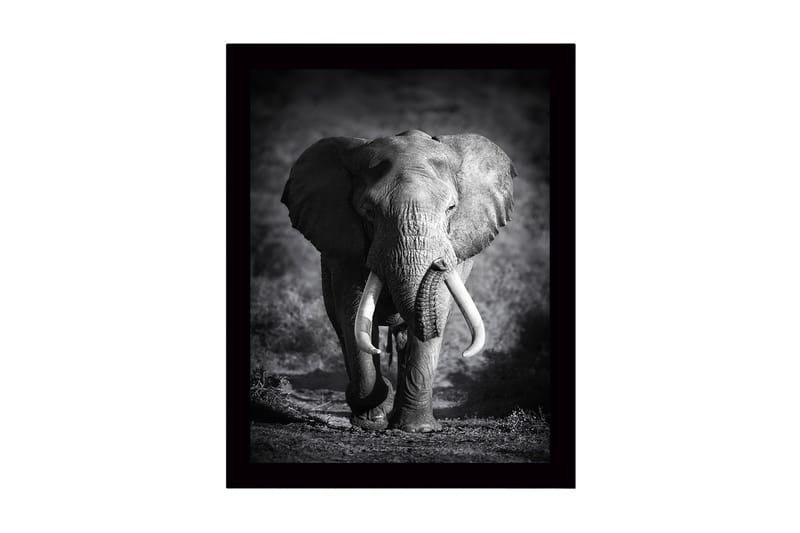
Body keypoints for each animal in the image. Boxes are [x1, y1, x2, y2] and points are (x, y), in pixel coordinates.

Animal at [281, 129, 515, 432]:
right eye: (368, 211)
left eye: (451, 208)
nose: (439, 263)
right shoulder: (344, 247)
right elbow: (353, 312)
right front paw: (371, 419)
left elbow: (438, 307)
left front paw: (417, 429)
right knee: (342, 325)